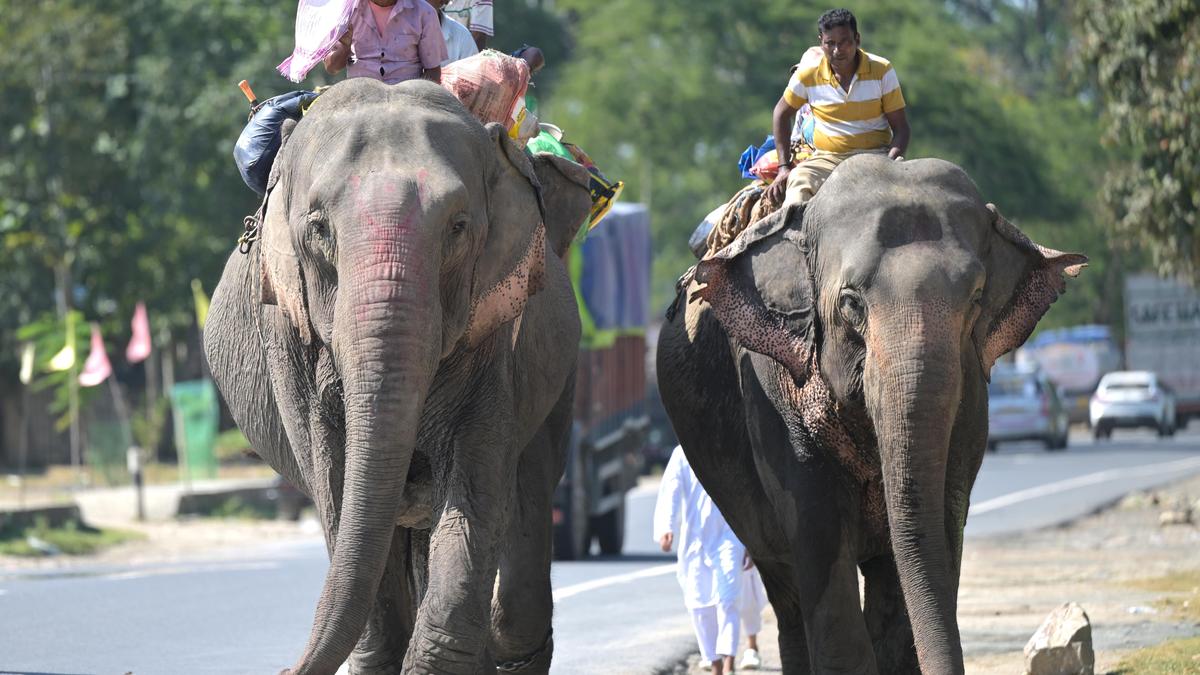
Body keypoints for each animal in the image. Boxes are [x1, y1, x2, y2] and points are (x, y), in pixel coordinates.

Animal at [202, 77, 594, 674]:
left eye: (458, 227)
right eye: (318, 229)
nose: (284, 668)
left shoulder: (498, 335)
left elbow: (474, 494)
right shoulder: (286, 344)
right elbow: (339, 492)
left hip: (561, 371)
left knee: (525, 519)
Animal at [657, 154, 1086, 674]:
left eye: (976, 297)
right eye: (850, 303)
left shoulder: (970, 400)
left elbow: (933, 533)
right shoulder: (772, 391)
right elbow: (821, 542)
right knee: (786, 591)